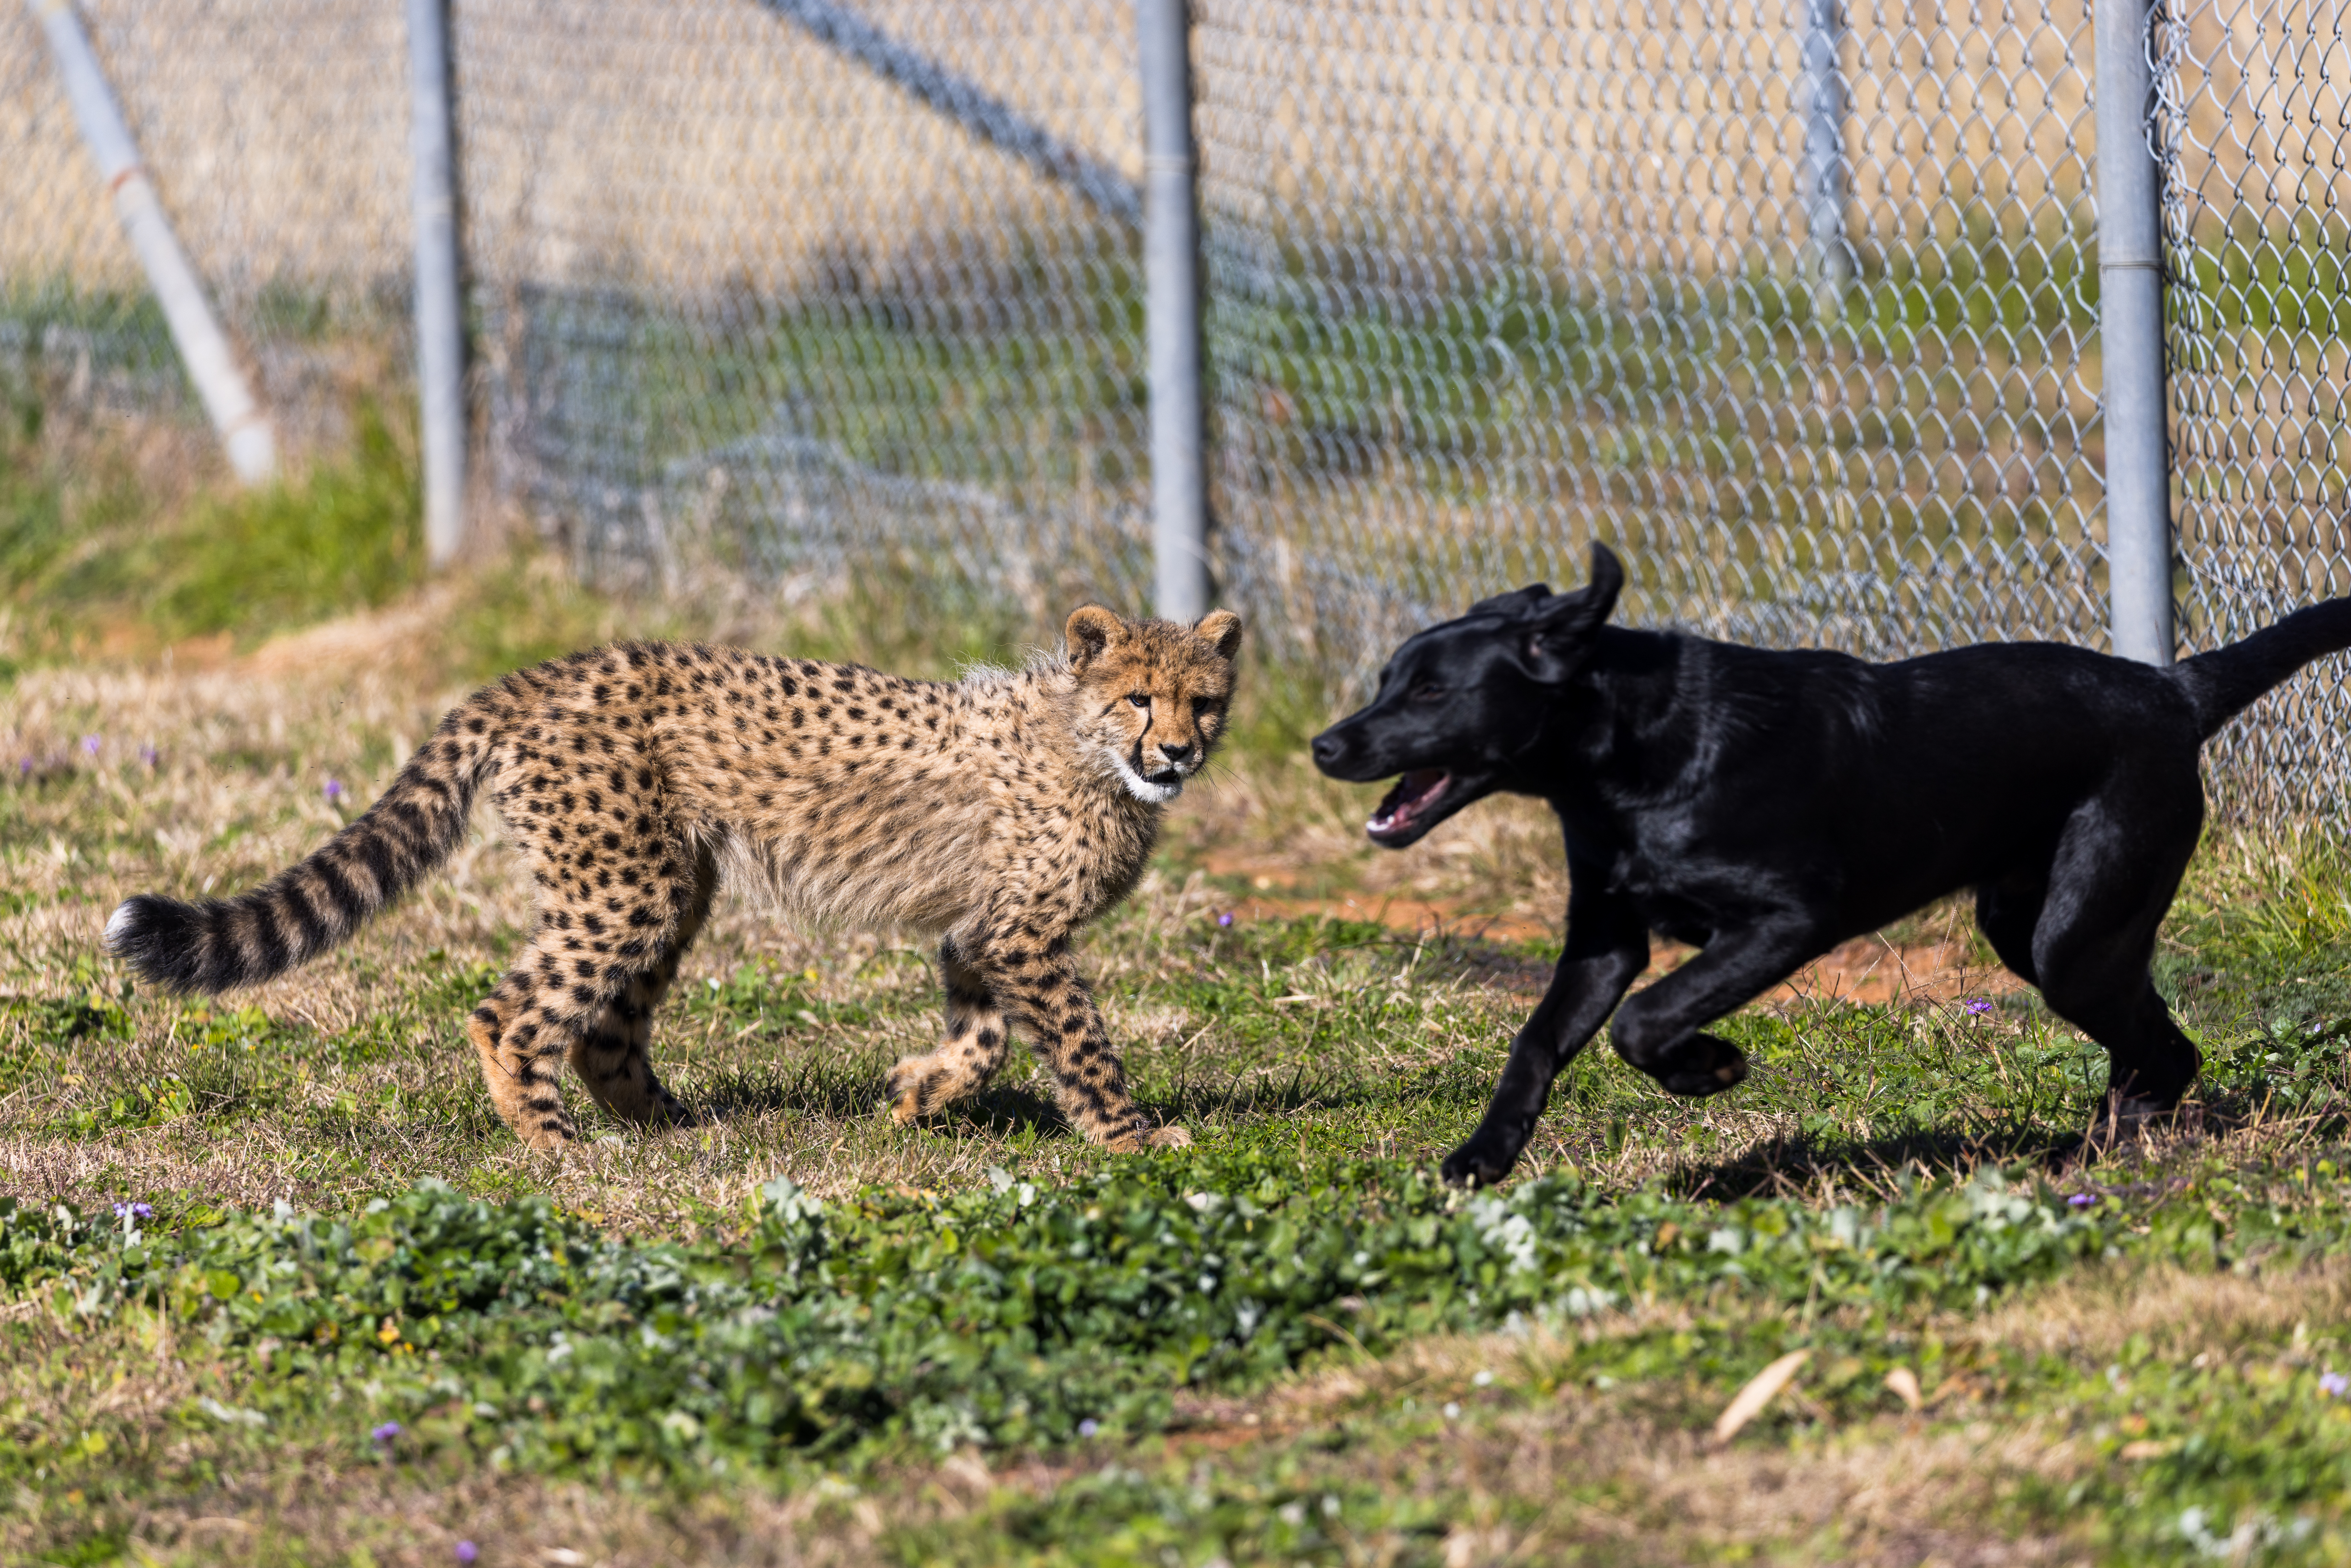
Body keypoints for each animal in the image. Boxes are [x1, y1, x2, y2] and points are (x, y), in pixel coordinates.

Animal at [105, 605, 1243, 1153]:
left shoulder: (981, 930)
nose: (1179, 752)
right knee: (511, 1012)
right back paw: (556, 1142)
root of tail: (537, 674)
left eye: (1205, 698)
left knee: (601, 1027)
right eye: (1139, 697)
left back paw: (673, 1126)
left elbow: (984, 1036)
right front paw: (1135, 1137)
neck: (1083, 743)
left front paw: (918, 1094)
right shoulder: (1023, 935)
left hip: (667, 881)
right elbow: (1078, 1043)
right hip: (625, 884)